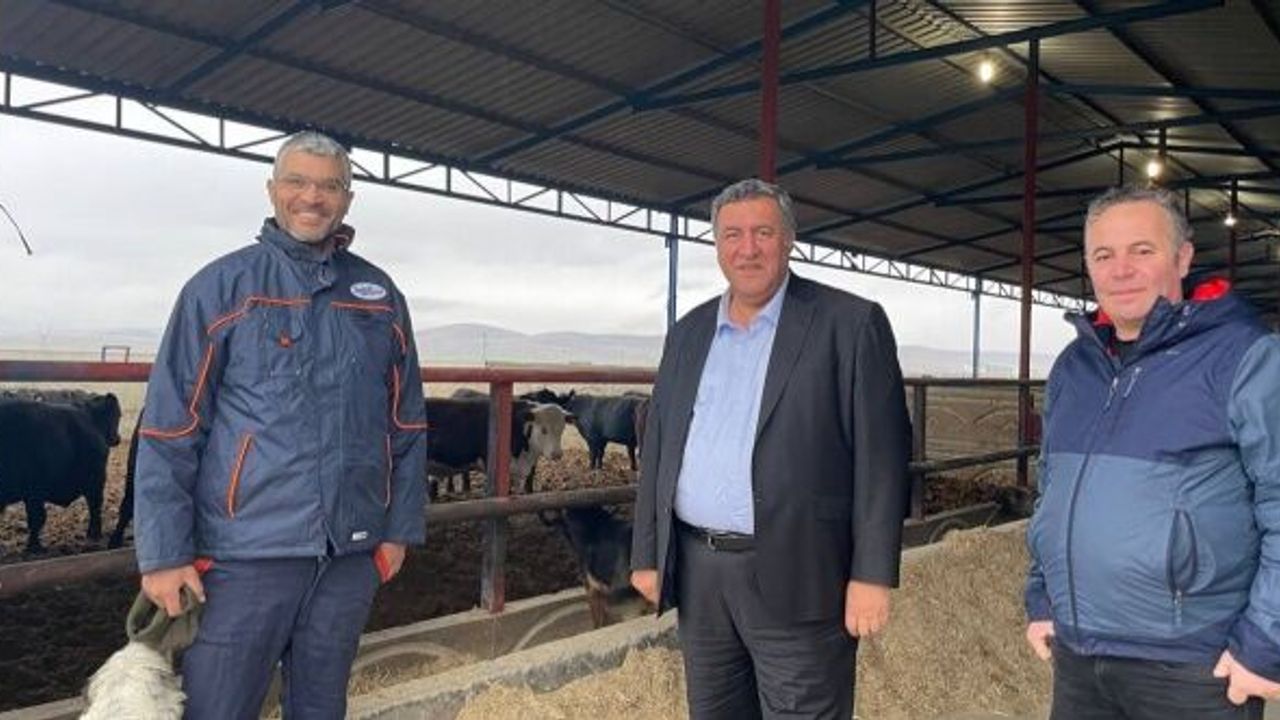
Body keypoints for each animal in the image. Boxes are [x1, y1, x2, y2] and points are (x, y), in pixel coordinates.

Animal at [0, 393, 123, 553]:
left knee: (95, 507)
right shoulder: (32, 495)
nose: (118, 438)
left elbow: (37, 519)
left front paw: (34, 547)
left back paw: (93, 535)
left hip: (95, 483)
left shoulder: (34, 493)